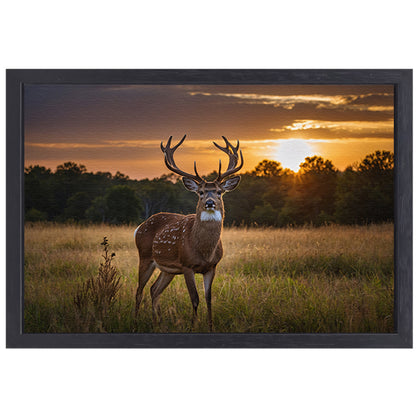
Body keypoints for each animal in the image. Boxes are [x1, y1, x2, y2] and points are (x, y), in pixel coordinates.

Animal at [133, 135, 244, 330]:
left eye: (219, 192)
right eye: (200, 192)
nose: (209, 202)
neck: (204, 251)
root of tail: (140, 227)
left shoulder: (212, 267)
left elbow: (208, 299)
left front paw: (210, 327)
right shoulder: (187, 265)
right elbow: (195, 299)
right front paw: (193, 326)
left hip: (167, 269)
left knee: (154, 289)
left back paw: (157, 323)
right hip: (145, 256)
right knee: (139, 290)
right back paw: (136, 323)